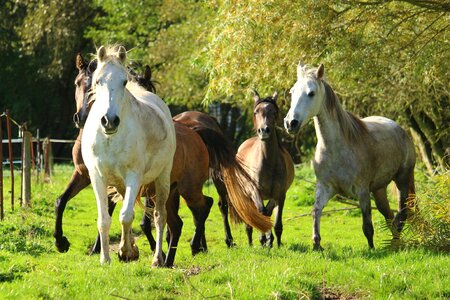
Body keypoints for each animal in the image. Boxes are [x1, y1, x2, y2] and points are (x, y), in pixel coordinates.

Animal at [81, 44, 176, 264]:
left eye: (123, 82)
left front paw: (126, 251)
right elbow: (104, 220)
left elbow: (126, 215)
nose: (109, 121)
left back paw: (157, 259)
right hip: (122, 184)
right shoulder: (97, 177)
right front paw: (106, 258)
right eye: (98, 81)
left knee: (159, 216)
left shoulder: (134, 176)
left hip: (163, 178)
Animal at [236, 91, 296, 246]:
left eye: (274, 112)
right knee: (252, 219)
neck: (269, 163)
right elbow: (261, 212)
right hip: (247, 194)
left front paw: (276, 244)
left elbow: (276, 222)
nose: (264, 131)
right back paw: (252, 243)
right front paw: (264, 240)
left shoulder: (280, 195)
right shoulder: (254, 192)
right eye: (256, 111)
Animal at [284, 62, 414, 248]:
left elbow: (367, 225)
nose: (290, 123)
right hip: (379, 189)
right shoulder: (325, 187)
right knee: (389, 215)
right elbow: (316, 211)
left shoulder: (362, 191)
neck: (336, 149)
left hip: (402, 179)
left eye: (311, 93)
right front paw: (317, 245)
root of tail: (400, 129)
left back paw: (395, 244)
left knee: (402, 213)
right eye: (292, 92)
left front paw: (372, 249)